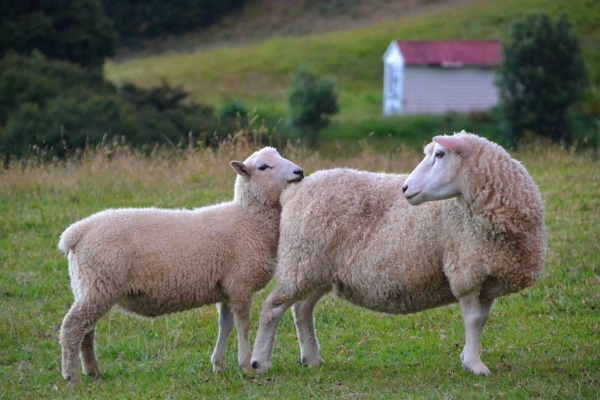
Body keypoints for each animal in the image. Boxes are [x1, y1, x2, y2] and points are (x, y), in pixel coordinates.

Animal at [56, 147, 304, 384]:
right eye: (263, 167)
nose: (299, 172)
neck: (249, 220)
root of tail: (77, 232)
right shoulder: (240, 284)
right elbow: (243, 326)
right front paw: (245, 365)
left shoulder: (226, 287)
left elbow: (225, 325)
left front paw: (219, 366)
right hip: (99, 284)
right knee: (72, 328)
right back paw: (73, 377)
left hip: (87, 286)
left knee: (87, 331)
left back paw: (93, 372)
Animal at [251, 131, 548, 376]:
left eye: (440, 155)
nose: (404, 188)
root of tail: (294, 191)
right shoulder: (465, 269)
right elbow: (473, 320)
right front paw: (475, 365)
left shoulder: (487, 276)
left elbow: (482, 320)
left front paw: (468, 358)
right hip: (300, 259)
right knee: (272, 308)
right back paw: (259, 362)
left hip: (317, 268)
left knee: (302, 308)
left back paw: (311, 358)